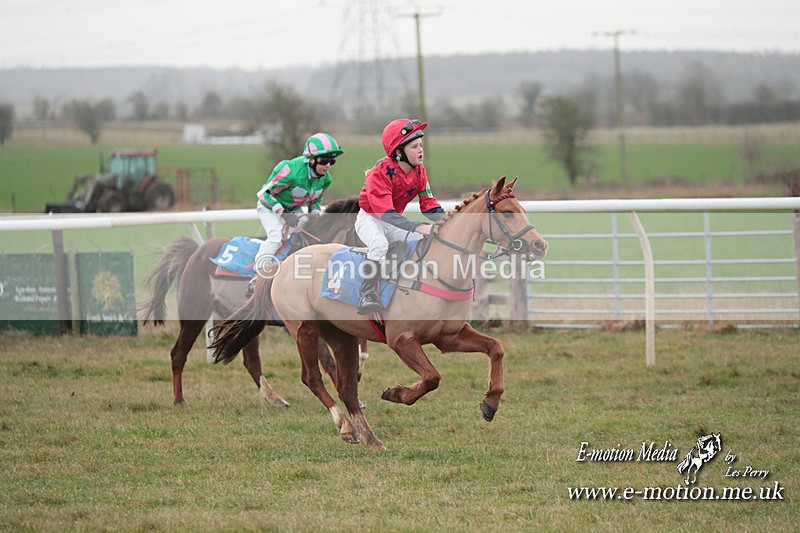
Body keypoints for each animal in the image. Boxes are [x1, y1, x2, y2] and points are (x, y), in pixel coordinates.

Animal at [140, 196, 365, 406]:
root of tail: (197, 251)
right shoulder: (302, 322)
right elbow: (328, 360)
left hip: (242, 320)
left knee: (251, 360)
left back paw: (274, 398)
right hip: (195, 310)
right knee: (178, 353)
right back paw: (179, 399)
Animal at [210, 177, 548, 450]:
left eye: (521, 209)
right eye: (507, 212)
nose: (539, 245)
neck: (438, 269)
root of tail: (283, 264)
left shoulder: (448, 336)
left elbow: (496, 348)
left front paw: (490, 403)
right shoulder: (401, 339)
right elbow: (432, 377)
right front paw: (396, 393)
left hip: (342, 335)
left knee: (347, 386)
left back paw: (371, 438)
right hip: (304, 328)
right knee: (313, 378)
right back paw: (346, 428)